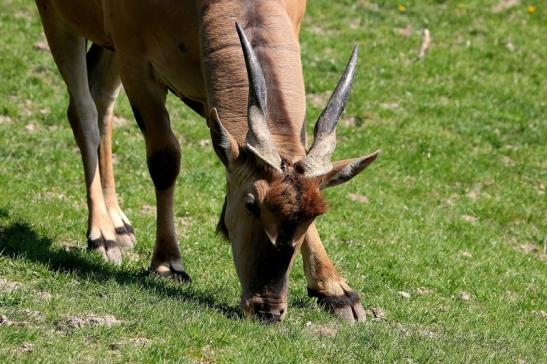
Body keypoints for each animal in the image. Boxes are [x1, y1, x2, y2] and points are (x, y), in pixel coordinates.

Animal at [36, 0, 382, 324]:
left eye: (315, 214)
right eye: (251, 204)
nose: (267, 310)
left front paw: (336, 291)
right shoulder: (136, 65)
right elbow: (165, 159)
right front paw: (167, 264)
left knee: (102, 97)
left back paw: (119, 224)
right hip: (62, 21)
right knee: (83, 112)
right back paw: (103, 234)